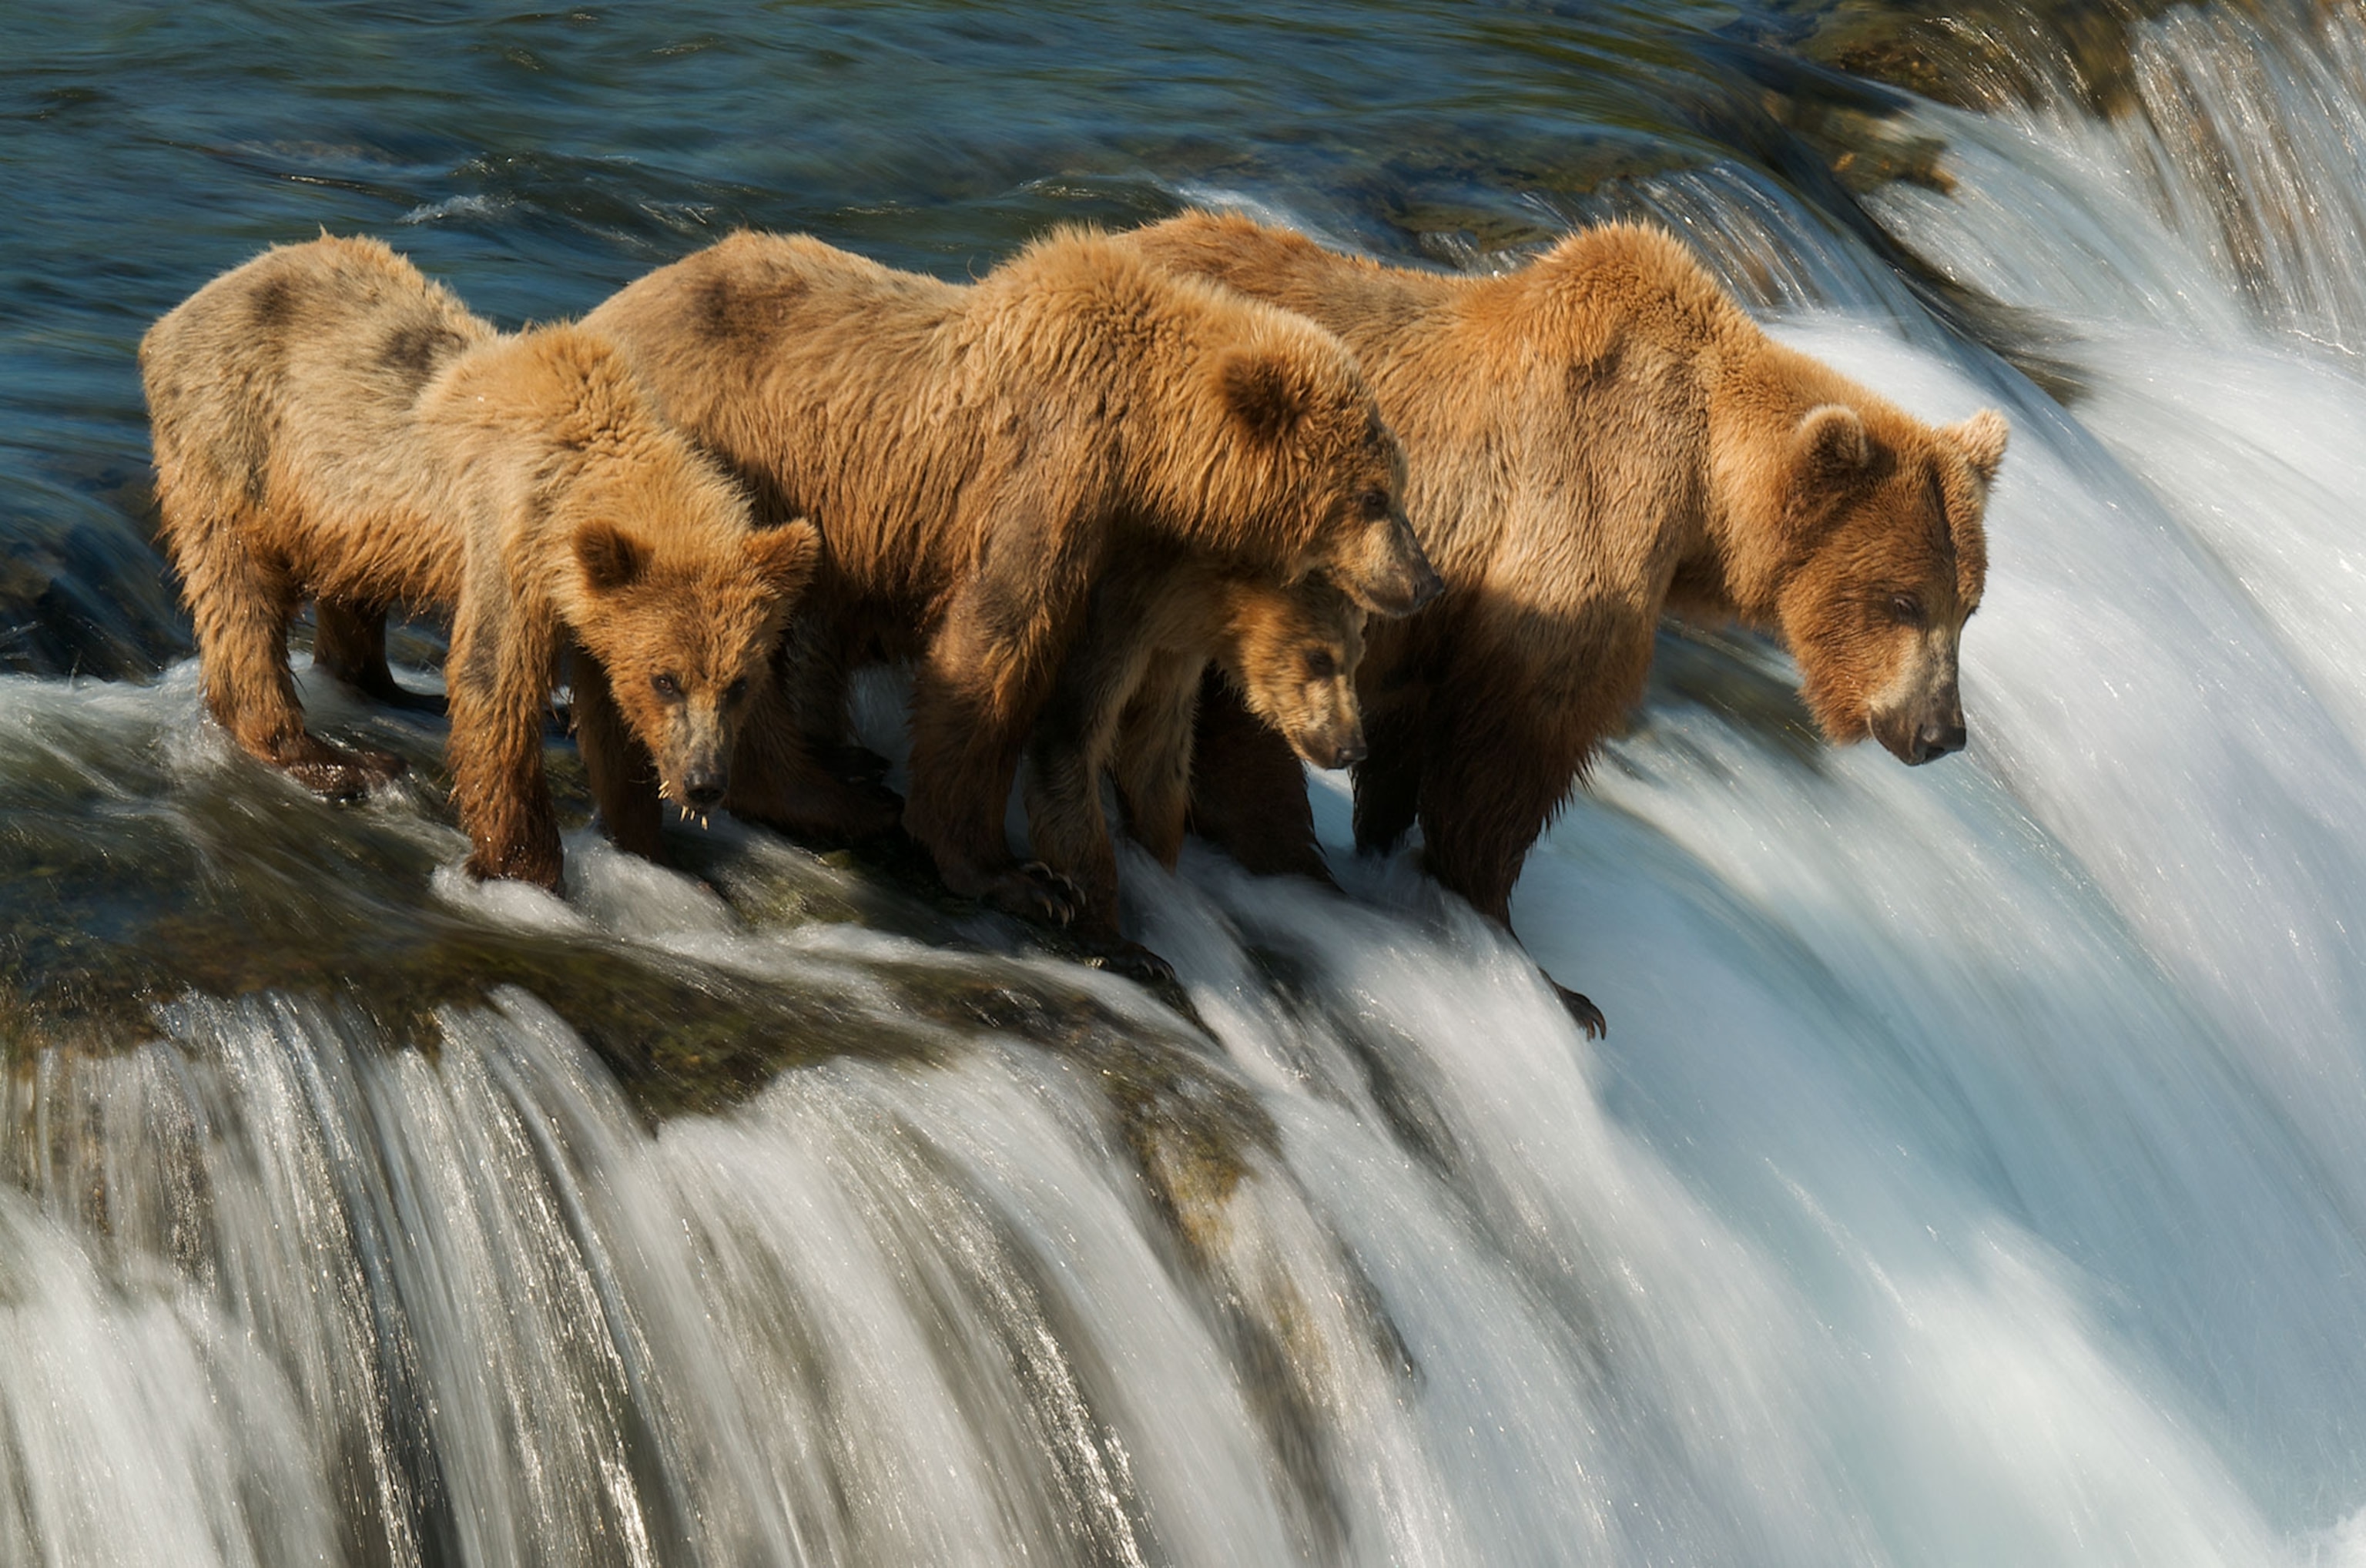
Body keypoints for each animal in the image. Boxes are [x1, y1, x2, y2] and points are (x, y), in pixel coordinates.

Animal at [141, 234, 821, 890]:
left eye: (739, 683)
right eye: (667, 679)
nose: (704, 783)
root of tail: (184, 308)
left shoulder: (591, 603)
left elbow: (605, 713)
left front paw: (651, 852)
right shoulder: (510, 528)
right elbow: (494, 678)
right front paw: (524, 868)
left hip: (347, 513)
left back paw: (390, 693)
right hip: (235, 433)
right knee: (240, 592)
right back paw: (333, 760)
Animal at [580, 226, 1440, 924]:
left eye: (1397, 481)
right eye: (1375, 494)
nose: (1426, 582)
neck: (1147, 446)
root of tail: (601, 312)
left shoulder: (1125, 554)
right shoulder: (1047, 473)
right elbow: (994, 653)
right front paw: (1018, 876)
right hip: (714, 480)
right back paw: (835, 796)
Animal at [1120, 211, 2009, 1035]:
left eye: (1968, 606)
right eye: (1904, 601)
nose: (1942, 730)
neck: (1698, 494)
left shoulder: (1437, 615)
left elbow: (1412, 741)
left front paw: (1387, 850)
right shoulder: (1572, 520)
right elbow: (1514, 748)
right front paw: (1549, 976)